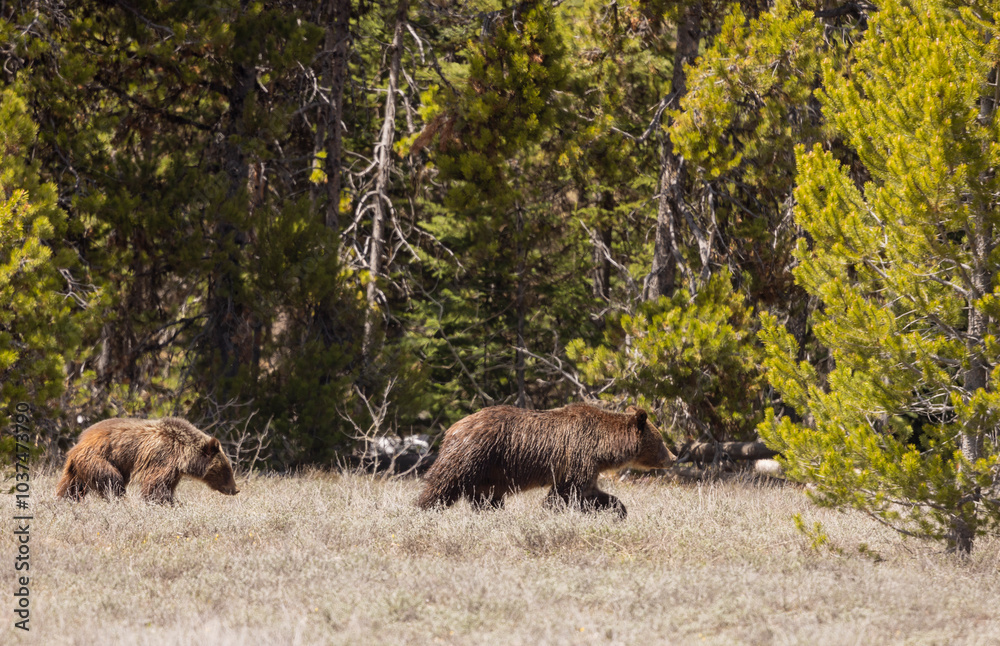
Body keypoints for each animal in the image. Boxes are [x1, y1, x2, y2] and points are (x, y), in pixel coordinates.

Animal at [56, 417, 240, 504]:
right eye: (226, 470)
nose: (235, 489)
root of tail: (78, 444)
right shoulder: (162, 458)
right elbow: (155, 488)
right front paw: (171, 504)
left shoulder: (174, 471)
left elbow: (166, 487)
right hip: (97, 459)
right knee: (112, 482)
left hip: (78, 468)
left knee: (71, 487)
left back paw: (63, 501)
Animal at [416, 403, 675, 518]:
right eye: (661, 440)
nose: (672, 458)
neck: (603, 446)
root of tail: (453, 427)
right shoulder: (578, 456)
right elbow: (567, 492)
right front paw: (551, 513)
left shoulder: (590, 466)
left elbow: (591, 493)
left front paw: (618, 509)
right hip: (473, 455)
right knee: (443, 484)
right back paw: (423, 510)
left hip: (488, 473)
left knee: (486, 498)